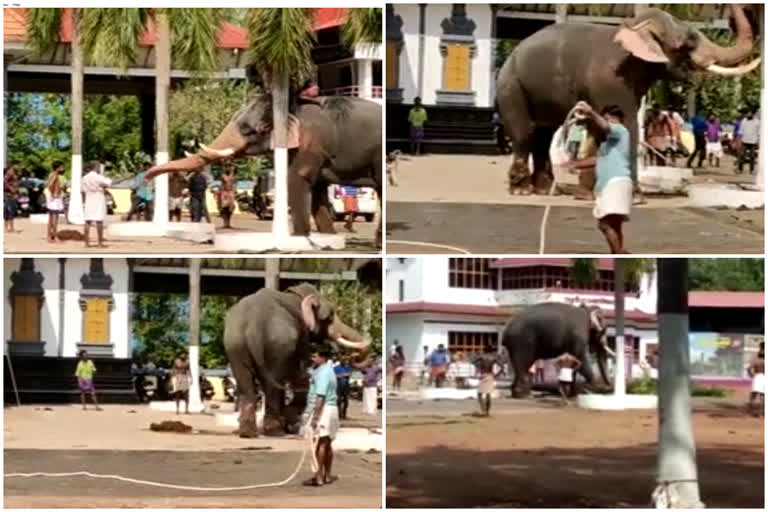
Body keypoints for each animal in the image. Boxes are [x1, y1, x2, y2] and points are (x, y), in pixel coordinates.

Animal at [146, 94, 382, 246]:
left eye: (248, 130)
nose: (147, 177)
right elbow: (318, 191)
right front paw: (327, 236)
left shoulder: (309, 146)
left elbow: (297, 181)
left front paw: (300, 239)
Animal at [224, 282, 370, 438]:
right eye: (329, 317)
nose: (350, 357)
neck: (295, 293)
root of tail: (253, 326)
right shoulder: (302, 333)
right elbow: (300, 369)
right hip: (277, 344)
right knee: (273, 385)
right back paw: (276, 431)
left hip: (235, 345)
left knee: (246, 382)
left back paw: (247, 432)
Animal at [498, 4, 760, 195]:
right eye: (687, 43)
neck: (633, 27)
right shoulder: (609, 79)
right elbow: (626, 124)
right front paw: (633, 197)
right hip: (511, 85)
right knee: (525, 133)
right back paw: (521, 191)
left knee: (544, 134)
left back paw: (543, 190)